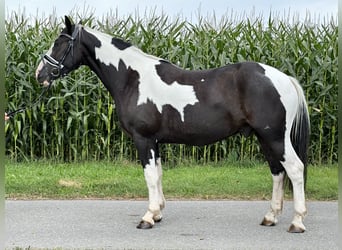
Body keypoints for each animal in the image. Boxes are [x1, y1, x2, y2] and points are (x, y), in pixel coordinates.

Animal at [35, 16, 310, 233]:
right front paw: (157, 213)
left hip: (275, 137)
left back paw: (297, 222)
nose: (40, 74)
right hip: (265, 138)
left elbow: (149, 176)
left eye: (60, 43)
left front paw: (147, 218)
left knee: (295, 169)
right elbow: (158, 175)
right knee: (277, 172)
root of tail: (284, 78)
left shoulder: (143, 139)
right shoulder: (155, 141)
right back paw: (270, 217)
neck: (132, 78)